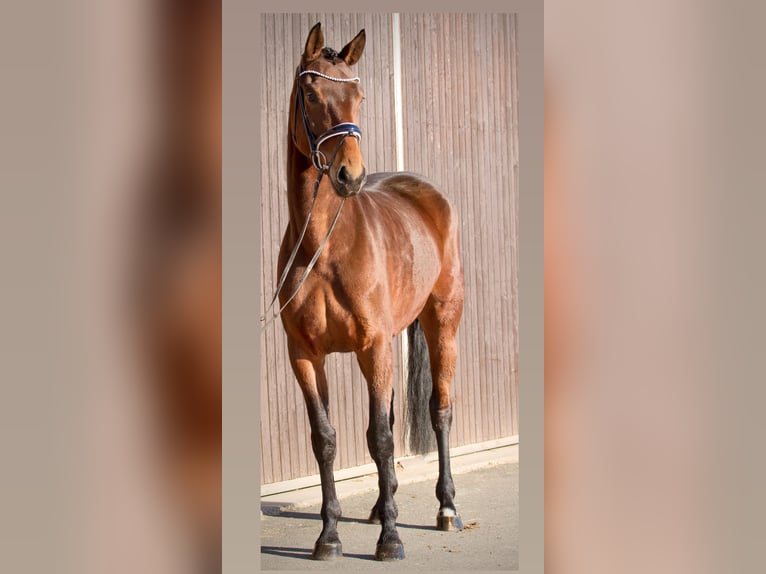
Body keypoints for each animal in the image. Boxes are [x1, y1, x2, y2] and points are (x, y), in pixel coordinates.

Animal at [266, 22, 468, 564]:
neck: (324, 247)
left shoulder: (373, 346)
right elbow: (326, 439)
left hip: (441, 325)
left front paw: (391, 540)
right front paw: (329, 535)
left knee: (439, 411)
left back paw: (446, 509)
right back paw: (381, 505)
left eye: (358, 95)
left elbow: (379, 437)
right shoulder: (304, 355)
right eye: (312, 93)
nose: (349, 176)